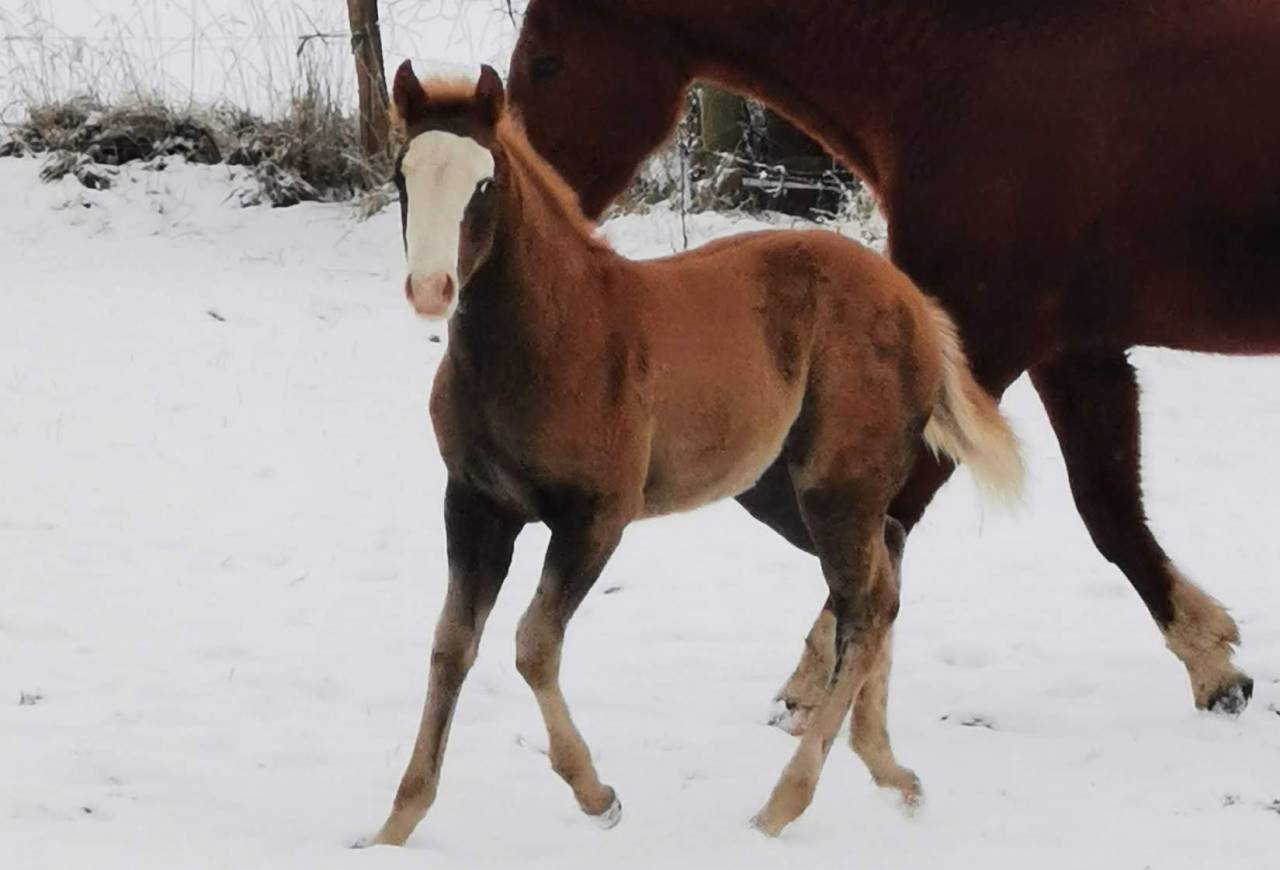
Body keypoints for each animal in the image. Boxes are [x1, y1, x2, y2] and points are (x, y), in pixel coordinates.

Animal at [362, 62, 1022, 845]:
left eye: (484, 182)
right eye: (403, 175)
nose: (432, 290)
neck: (546, 344)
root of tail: (915, 302)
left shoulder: (596, 517)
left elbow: (533, 644)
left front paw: (598, 796)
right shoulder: (474, 505)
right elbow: (451, 644)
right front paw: (394, 825)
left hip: (834, 489)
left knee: (864, 609)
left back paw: (782, 805)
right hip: (782, 492)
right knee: (885, 572)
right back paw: (890, 770)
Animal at [505, 0, 1277, 719]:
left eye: (546, 62)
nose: (519, 202)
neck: (967, 69)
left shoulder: (980, 339)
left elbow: (884, 515)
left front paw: (809, 690)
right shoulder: (1074, 351)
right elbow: (1111, 511)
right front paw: (1215, 667)